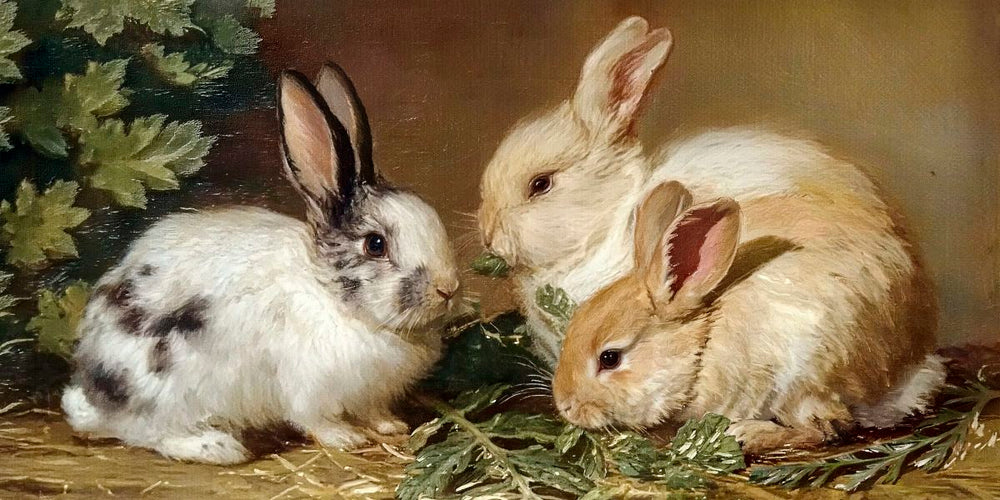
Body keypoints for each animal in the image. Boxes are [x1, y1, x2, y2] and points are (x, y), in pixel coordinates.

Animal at [60, 63, 461, 465]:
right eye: (375, 245)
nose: (448, 289)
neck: (335, 299)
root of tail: (91, 390)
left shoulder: (368, 393)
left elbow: (372, 411)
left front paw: (391, 426)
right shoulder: (309, 387)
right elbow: (316, 419)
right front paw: (346, 438)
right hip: (170, 389)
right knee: (148, 431)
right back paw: (217, 447)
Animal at [551, 182, 945, 454]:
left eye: (610, 358)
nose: (565, 406)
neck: (703, 343)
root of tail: (909, 366)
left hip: (805, 374)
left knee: (826, 430)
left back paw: (745, 434)